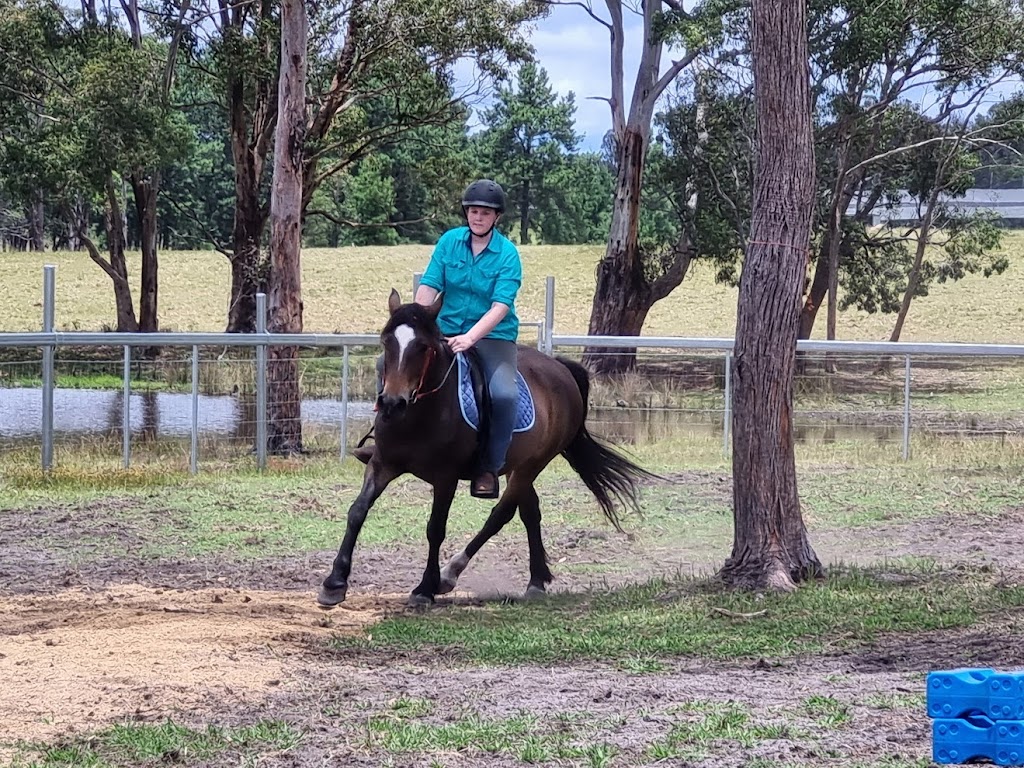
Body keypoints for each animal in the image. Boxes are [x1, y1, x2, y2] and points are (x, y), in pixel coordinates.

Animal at [317, 289, 659, 608]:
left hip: (532, 465)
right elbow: (357, 511)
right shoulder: (382, 464)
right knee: (530, 512)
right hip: (516, 466)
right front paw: (334, 583)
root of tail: (559, 369)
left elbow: (435, 528)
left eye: (423, 347)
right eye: (386, 342)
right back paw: (536, 580)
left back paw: (451, 573)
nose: (391, 403)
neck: (420, 413)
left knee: (501, 514)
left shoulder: (445, 477)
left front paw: (424, 588)